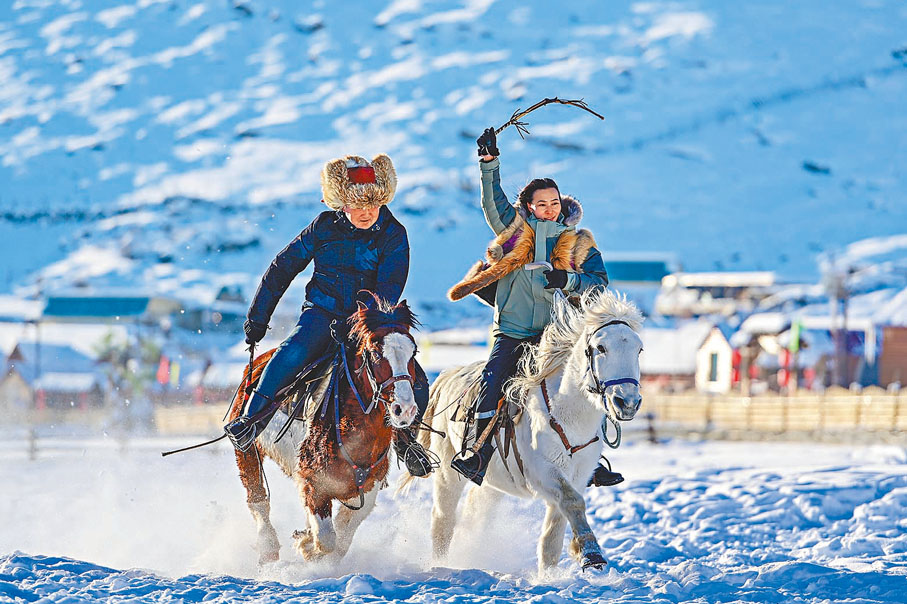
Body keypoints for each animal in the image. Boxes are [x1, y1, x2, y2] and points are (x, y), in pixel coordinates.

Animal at [231, 300, 422, 564]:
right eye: (375, 353)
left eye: (413, 353)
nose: (404, 409)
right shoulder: (313, 482)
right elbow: (328, 539)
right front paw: (308, 544)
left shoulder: (367, 487)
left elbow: (341, 537)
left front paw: (307, 541)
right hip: (248, 452)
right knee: (257, 498)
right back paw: (268, 546)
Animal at [400, 290, 640, 572]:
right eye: (601, 348)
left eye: (638, 349)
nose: (627, 402)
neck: (568, 414)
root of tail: (450, 375)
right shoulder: (542, 472)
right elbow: (573, 502)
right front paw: (592, 554)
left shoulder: (578, 476)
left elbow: (552, 537)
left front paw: (551, 574)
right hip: (449, 475)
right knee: (443, 518)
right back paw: (441, 563)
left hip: (492, 483)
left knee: (475, 512)